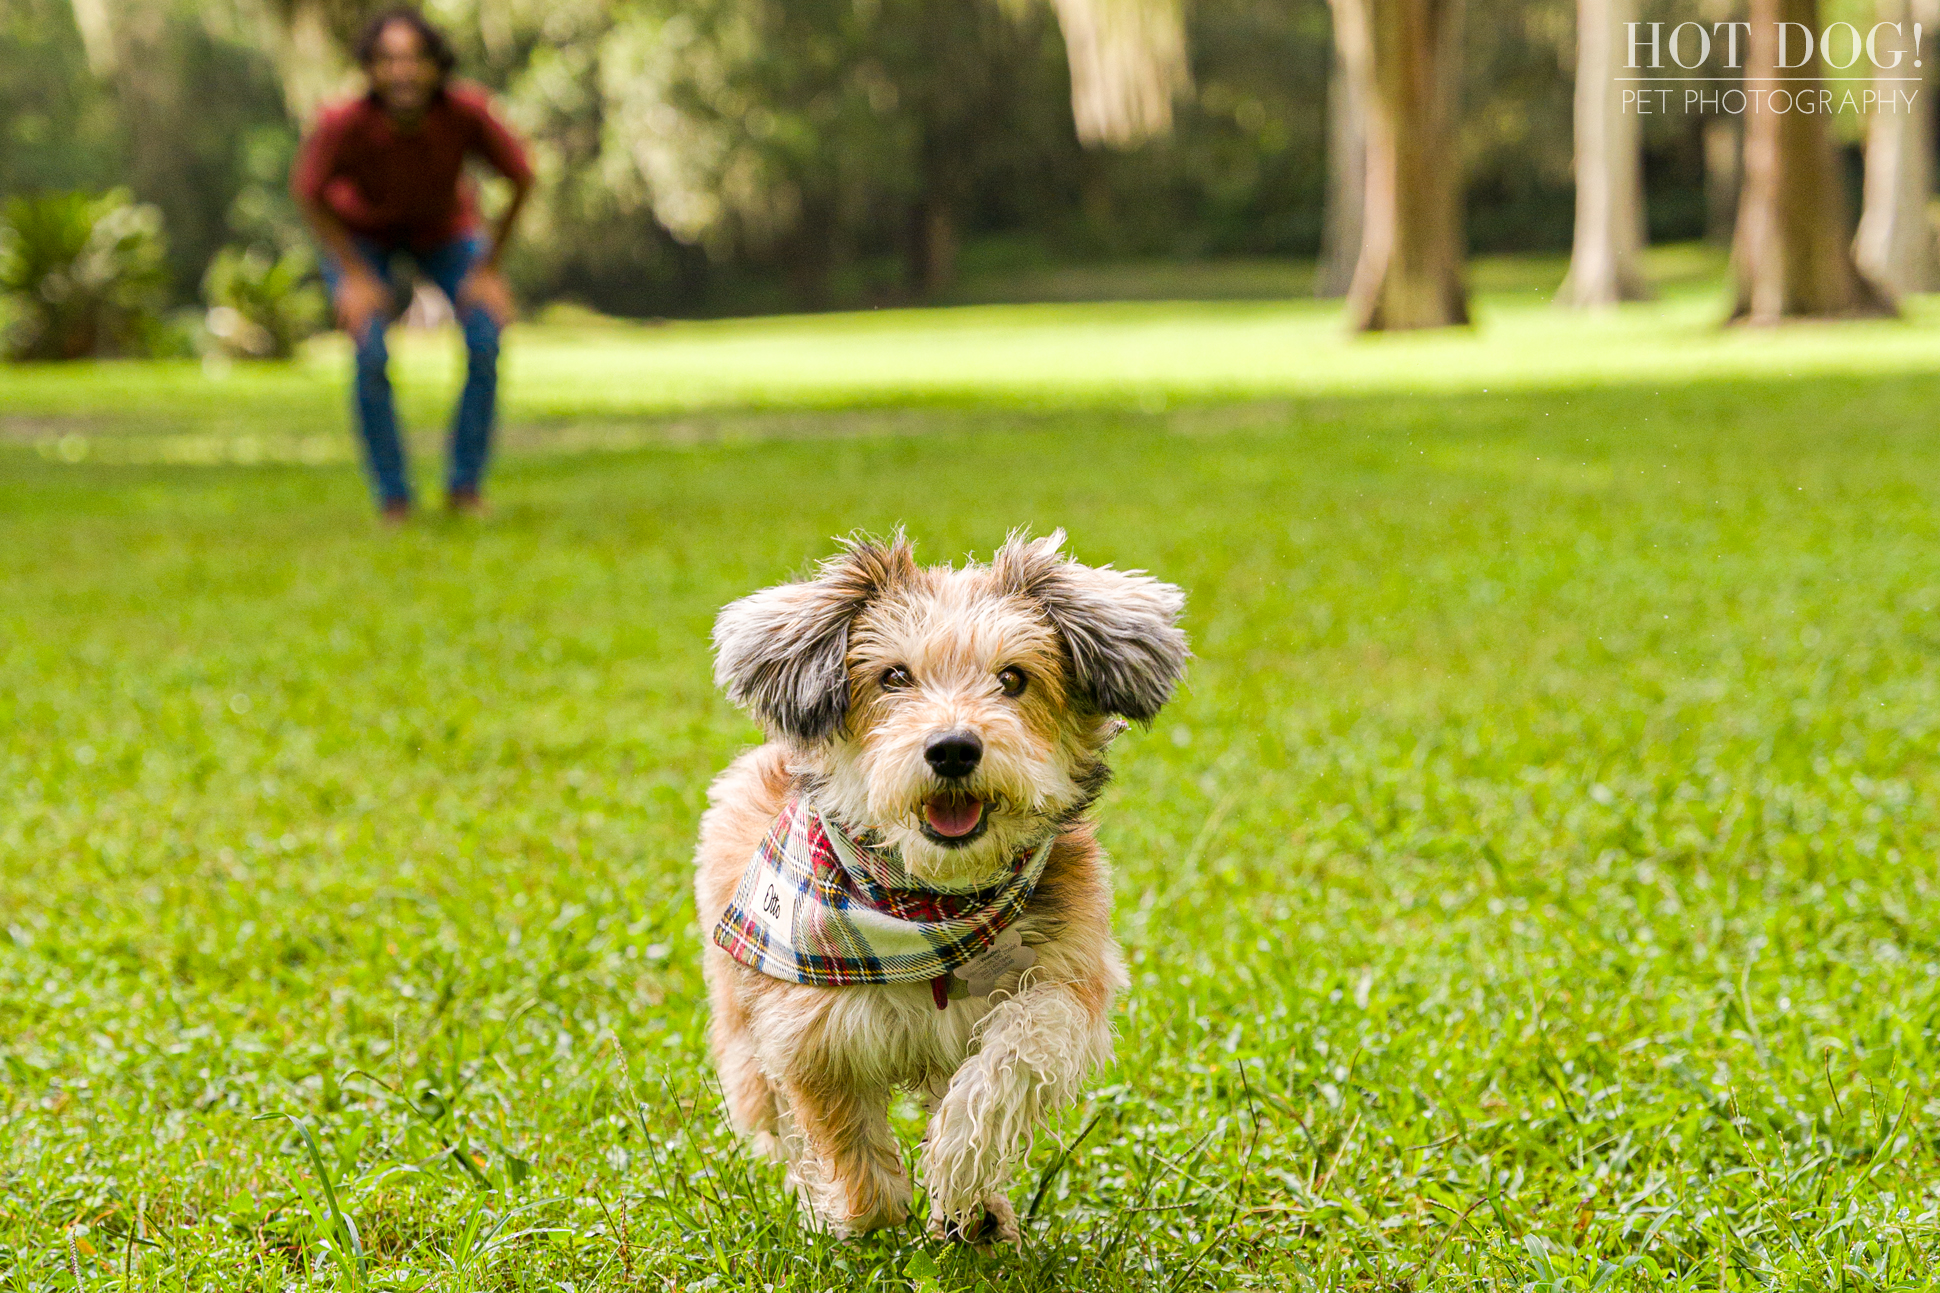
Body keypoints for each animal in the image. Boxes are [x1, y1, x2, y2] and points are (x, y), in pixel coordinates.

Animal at [690, 528, 1187, 1242]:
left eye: (1013, 678)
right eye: (894, 676)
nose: (953, 748)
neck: (928, 905)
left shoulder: (1068, 980)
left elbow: (1020, 1050)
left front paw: (959, 1175)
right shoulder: (807, 1031)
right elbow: (847, 1146)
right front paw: (853, 1214)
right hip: (738, 1028)